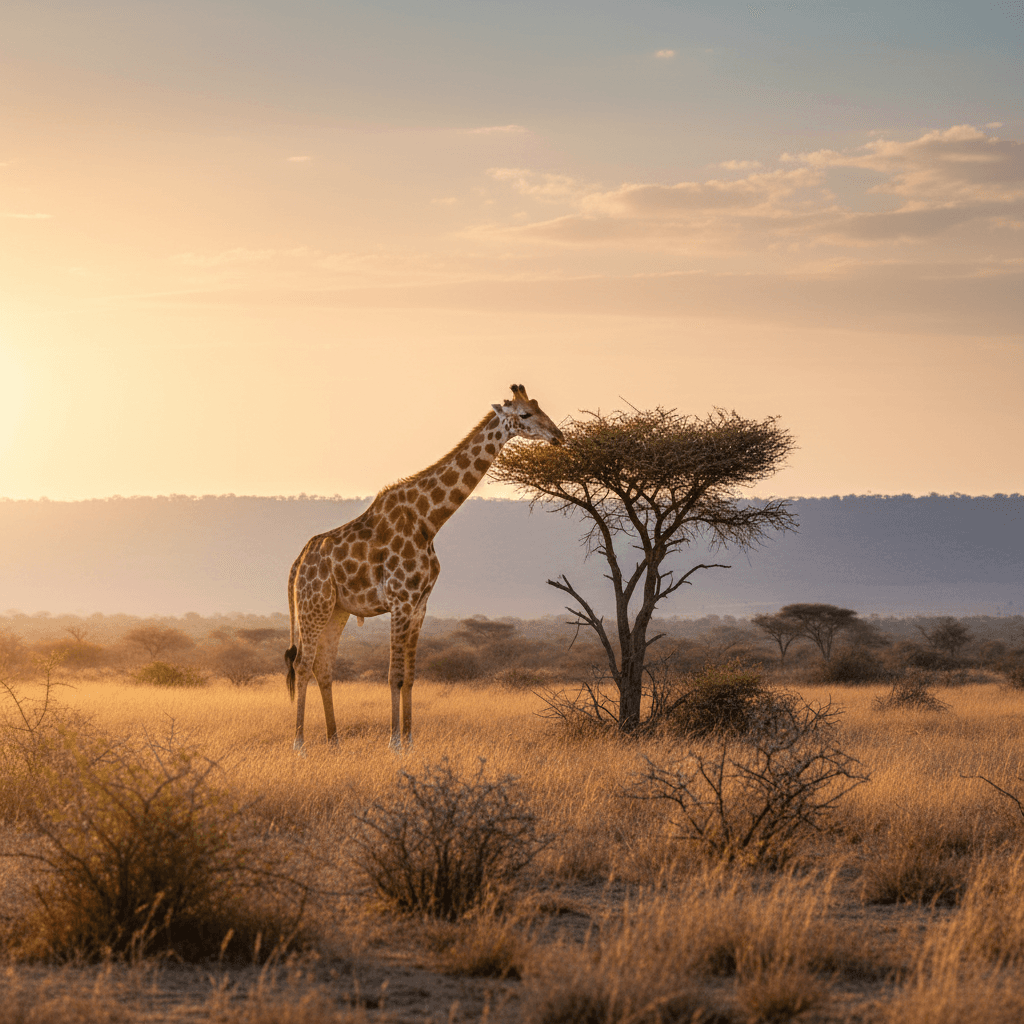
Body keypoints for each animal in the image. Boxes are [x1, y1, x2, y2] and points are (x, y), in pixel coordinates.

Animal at [284, 384, 564, 752]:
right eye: (525, 414)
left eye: (539, 406)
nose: (558, 435)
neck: (428, 521)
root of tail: (298, 561)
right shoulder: (400, 601)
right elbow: (394, 675)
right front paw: (394, 743)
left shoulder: (420, 605)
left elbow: (411, 676)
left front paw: (410, 741)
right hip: (312, 605)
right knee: (302, 665)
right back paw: (299, 745)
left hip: (336, 610)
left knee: (323, 666)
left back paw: (334, 742)